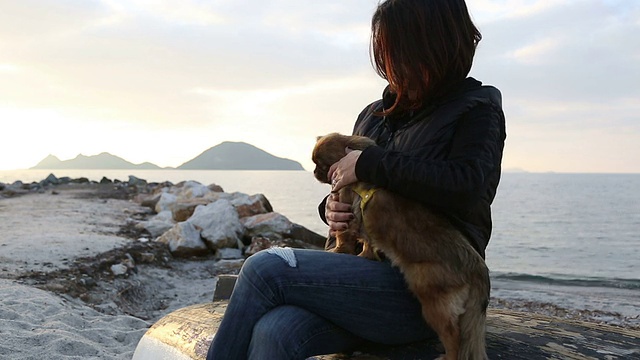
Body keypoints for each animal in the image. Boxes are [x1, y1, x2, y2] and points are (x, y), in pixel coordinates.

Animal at [314, 133, 490, 360]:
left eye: (321, 164)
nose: (314, 171)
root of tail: (475, 266)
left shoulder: (346, 208)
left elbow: (344, 236)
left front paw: (339, 250)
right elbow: (368, 243)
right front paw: (365, 255)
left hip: (434, 304)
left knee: (454, 337)